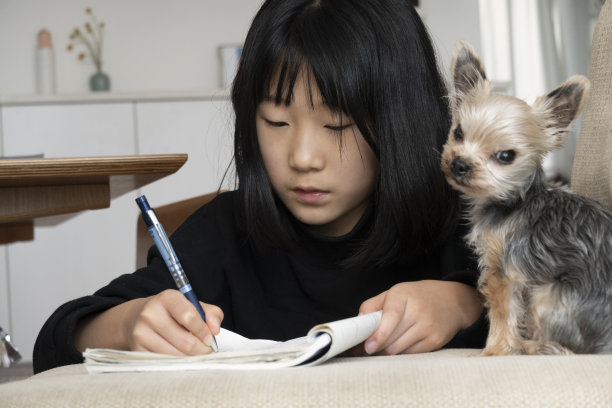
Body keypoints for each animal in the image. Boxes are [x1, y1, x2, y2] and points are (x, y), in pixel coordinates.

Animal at [442, 39, 612, 356]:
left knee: (570, 350)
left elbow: (502, 315)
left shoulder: (502, 272)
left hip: (547, 296)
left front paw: (495, 350)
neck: (514, 201)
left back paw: (533, 345)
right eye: (458, 133)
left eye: (505, 156)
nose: (459, 164)